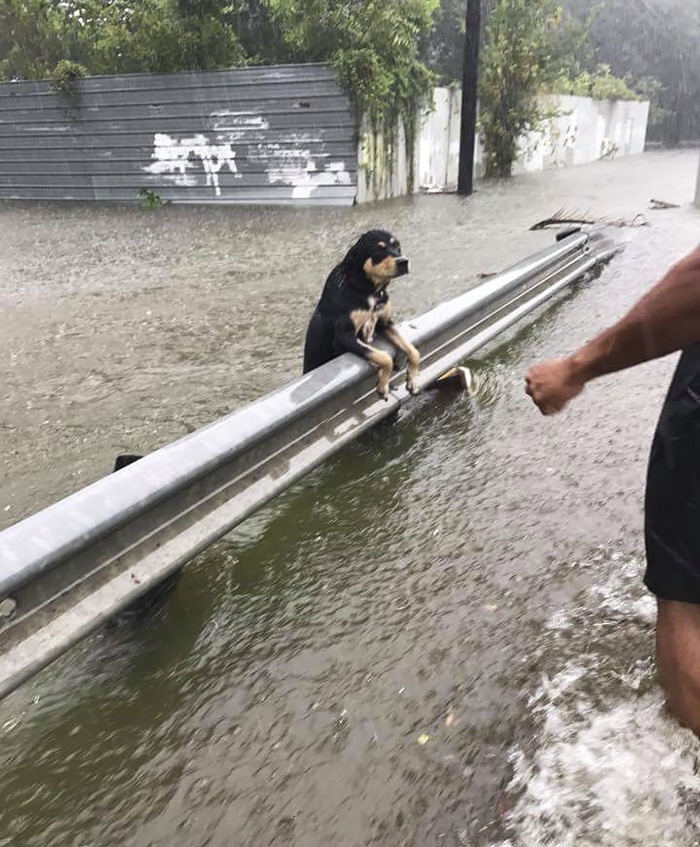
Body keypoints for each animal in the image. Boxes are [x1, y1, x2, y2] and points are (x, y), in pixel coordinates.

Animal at [302, 225, 422, 398]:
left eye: (397, 246)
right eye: (379, 250)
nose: (403, 261)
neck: (367, 290)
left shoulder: (385, 323)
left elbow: (413, 351)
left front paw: (413, 379)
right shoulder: (344, 336)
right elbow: (384, 357)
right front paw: (383, 384)